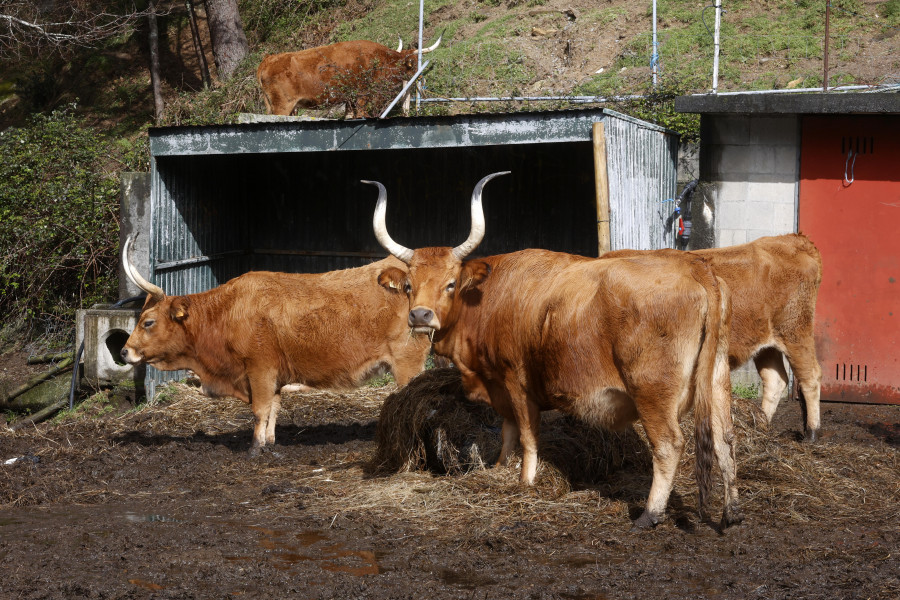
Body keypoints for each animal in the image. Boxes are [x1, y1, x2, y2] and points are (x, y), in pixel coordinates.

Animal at [120, 236, 432, 454]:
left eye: (148, 322)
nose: (124, 351)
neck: (227, 312)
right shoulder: (274, 375)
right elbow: (273, 407)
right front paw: (269, 441)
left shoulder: (260, 369)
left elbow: (260, 409)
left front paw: (255, 448)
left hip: (407, 364)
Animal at [364, 175, 740, 528]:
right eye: (409, 286)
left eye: (451, 283)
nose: (420, 316)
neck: (488, 298)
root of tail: (694, 266)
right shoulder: (501, 387)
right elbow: (508, 430)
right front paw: (501, 467)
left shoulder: (516, 381)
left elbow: (527, 434)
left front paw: (526, 481)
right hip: (716, 380)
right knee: (724, 439)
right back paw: (732, 512)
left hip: (651, 390)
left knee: (668, 445)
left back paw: (650, 514)